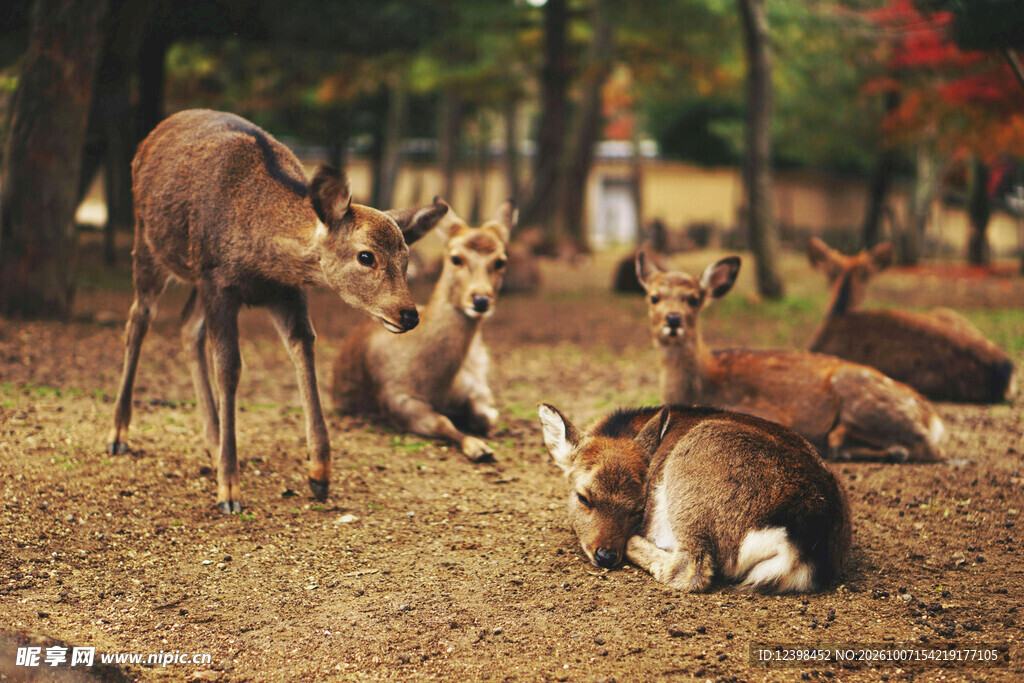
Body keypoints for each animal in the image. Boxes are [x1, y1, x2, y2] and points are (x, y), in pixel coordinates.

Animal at [107, 109, 451, 514]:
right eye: (366, 256)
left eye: (407, 258)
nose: (409, 314)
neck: (262, 258)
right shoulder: (218, 281)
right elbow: (229, 369)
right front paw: (229, 490)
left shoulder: (284, 291)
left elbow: (304, 350)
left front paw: (319, 474)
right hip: (149, 245)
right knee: (138, 319)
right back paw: (118, 434)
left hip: (193, 278)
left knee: (186, 326)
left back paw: (212, 440)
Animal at [331, 201, 513, 462]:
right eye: (455, 258)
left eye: (500, 261)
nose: (480, 300)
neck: (437, 383)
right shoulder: (396, 398)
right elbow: (442, 422)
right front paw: (479, 448)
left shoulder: (475, 385)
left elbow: (485, 416)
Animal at [636, 251, 946, 462]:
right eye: (653, 297)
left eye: (694, 299)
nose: (673, 318)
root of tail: (934, 418)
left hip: (862, 396)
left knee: (929, 448)